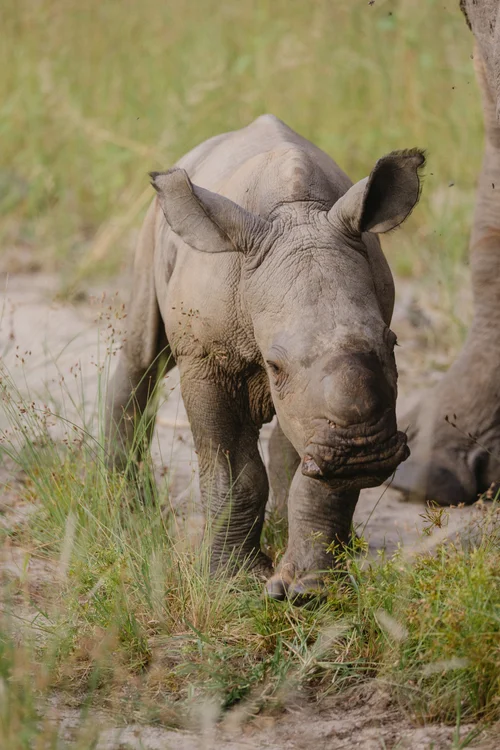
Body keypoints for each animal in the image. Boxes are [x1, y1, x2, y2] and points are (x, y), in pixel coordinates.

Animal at [106, 114, 424, 599]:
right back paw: (125, 511)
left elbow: (316, 476)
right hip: (155, 226)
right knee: (144, 353)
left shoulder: (321, 414)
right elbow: (234, 471)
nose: (363, 454)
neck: (294, 214)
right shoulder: (207, 359)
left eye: (393, 343)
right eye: (274, 366)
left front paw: (309, 592)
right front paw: (231, 583)